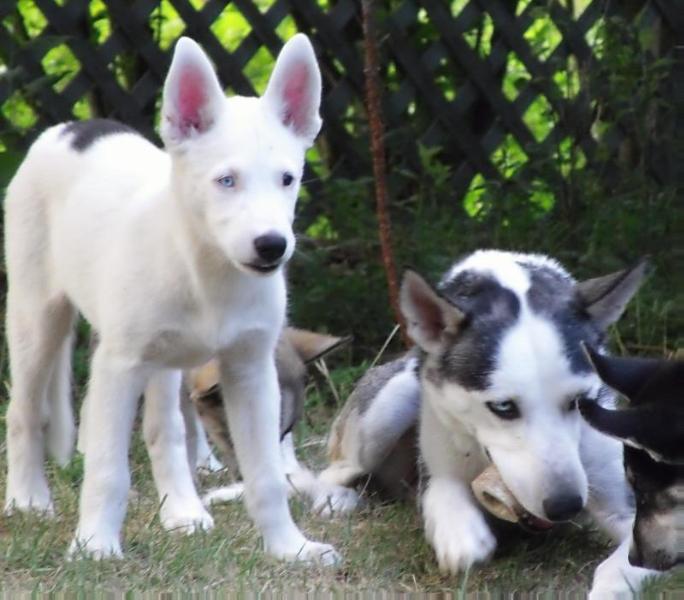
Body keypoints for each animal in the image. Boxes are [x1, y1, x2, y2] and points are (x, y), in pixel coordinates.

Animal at [4, 35, 338, 564]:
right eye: (226, 181)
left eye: (287, 179)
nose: (271, 246)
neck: (207, 273)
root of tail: (70, 127)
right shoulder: (118, 366)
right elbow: (107, 471)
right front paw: (95, 545)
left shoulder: (251, 369)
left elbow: (266, 476)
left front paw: (290, 548)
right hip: (37, 316)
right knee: (24, 412)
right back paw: (28, 500)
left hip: (164, 361)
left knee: (165, 429)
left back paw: (182, 511)